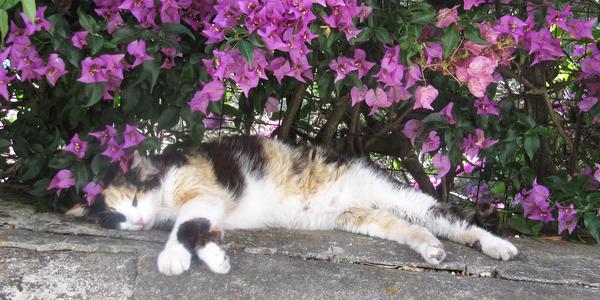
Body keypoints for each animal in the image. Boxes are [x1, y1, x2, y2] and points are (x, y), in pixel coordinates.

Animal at [64, 135, 516, 276]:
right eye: (118, 218)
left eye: (135, 199)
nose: (138, 221)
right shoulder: (215, 209)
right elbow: (203, 229)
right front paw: (216, 258)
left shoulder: (203, 190)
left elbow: (186, 225)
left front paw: (174, 256)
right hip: (360, 217)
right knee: (409, 227)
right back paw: (431, 250)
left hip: (395, 193)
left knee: (448, 218)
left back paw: (498, 246)